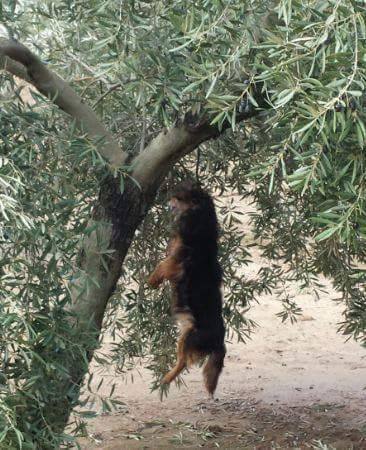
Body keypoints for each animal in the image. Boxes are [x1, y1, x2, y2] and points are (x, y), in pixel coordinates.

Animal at [147, 181, 224, 396]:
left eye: (182, 196)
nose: (168, 196)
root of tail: (220, 341)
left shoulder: (176, 263)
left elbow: (161, 266)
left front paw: (151, 281)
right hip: (185, 336)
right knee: (185, 362)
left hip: (190, 337)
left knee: (183, 362)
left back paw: (166, 378)